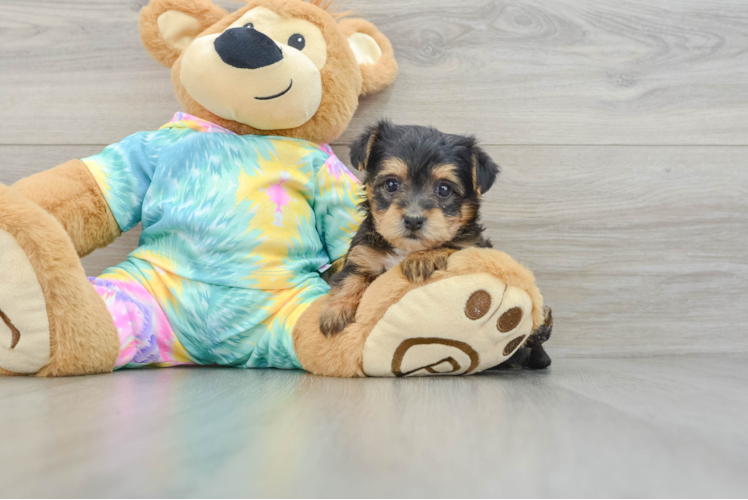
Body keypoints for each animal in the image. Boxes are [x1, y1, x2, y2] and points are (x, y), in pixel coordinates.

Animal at [318, 121, 500, 338]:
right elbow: (349, 278)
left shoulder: (474, 247)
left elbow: (450, 247)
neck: (405, 248)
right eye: (391, 184)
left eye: (444, 189)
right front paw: (335, 312)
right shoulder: (362, 254)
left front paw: (422, 258)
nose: (413, 220)